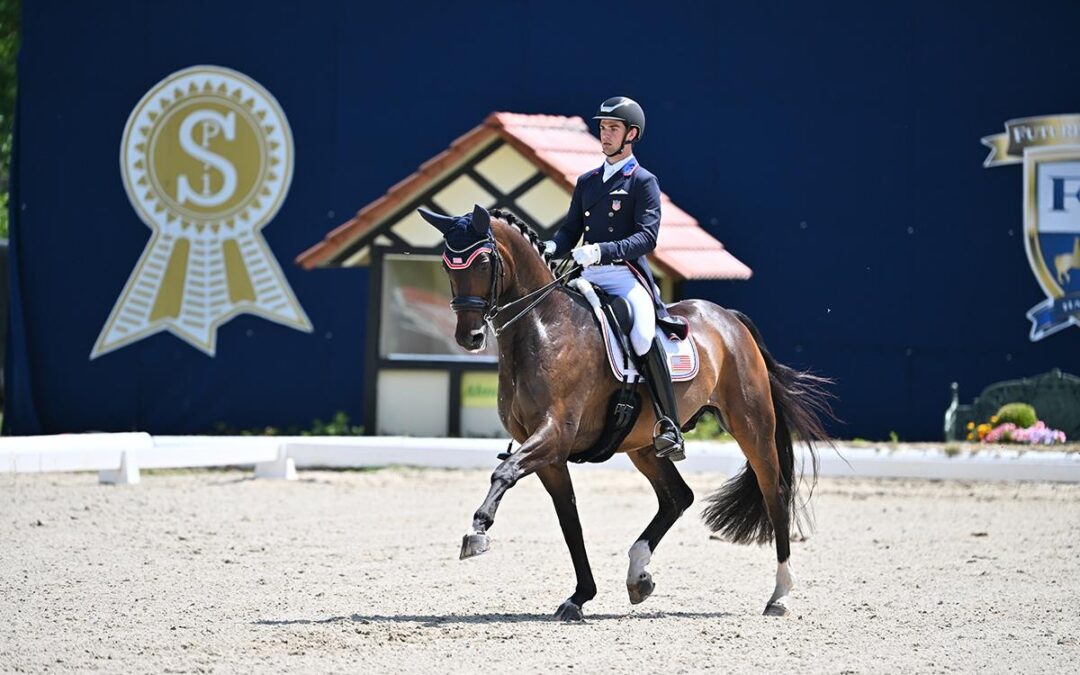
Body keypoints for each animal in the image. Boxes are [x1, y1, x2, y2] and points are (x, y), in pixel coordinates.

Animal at [416, 203, 829, 617]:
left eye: (483, 262)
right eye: (447, 265)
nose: (469, 337)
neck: (544, 326)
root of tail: (727, 317)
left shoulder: (554, 434)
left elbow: (504, 473)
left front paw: (477, 531)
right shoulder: (551, 455)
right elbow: (570, 520)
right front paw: (580, 596)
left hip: (751, 424)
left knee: (774, 491)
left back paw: (780, 594)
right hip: (644, 445)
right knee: (678, 497)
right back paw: (638, 575)